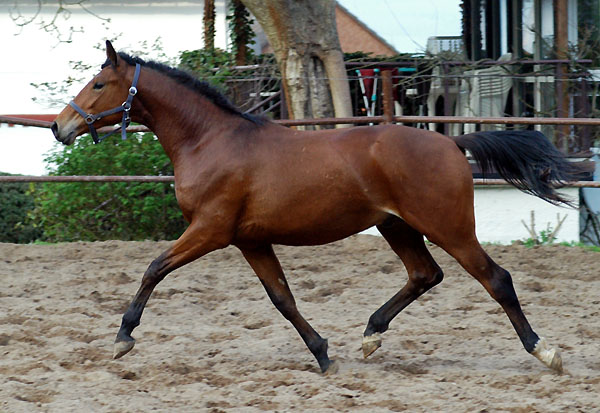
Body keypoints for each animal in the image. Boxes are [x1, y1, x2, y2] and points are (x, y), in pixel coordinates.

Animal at [54, 41, 580, 374]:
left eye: (98, 84)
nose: (60, 127)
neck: (211, 141)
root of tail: (452, 143)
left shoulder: (210, 230)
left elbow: (153, 268)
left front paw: (123, 339)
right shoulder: (249, 240)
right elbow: (282, 298)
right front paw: (323, 354)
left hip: (448, 227)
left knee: (496, 279)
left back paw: (545, 352)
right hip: (397, 227)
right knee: (424, 274)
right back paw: (370, 336)